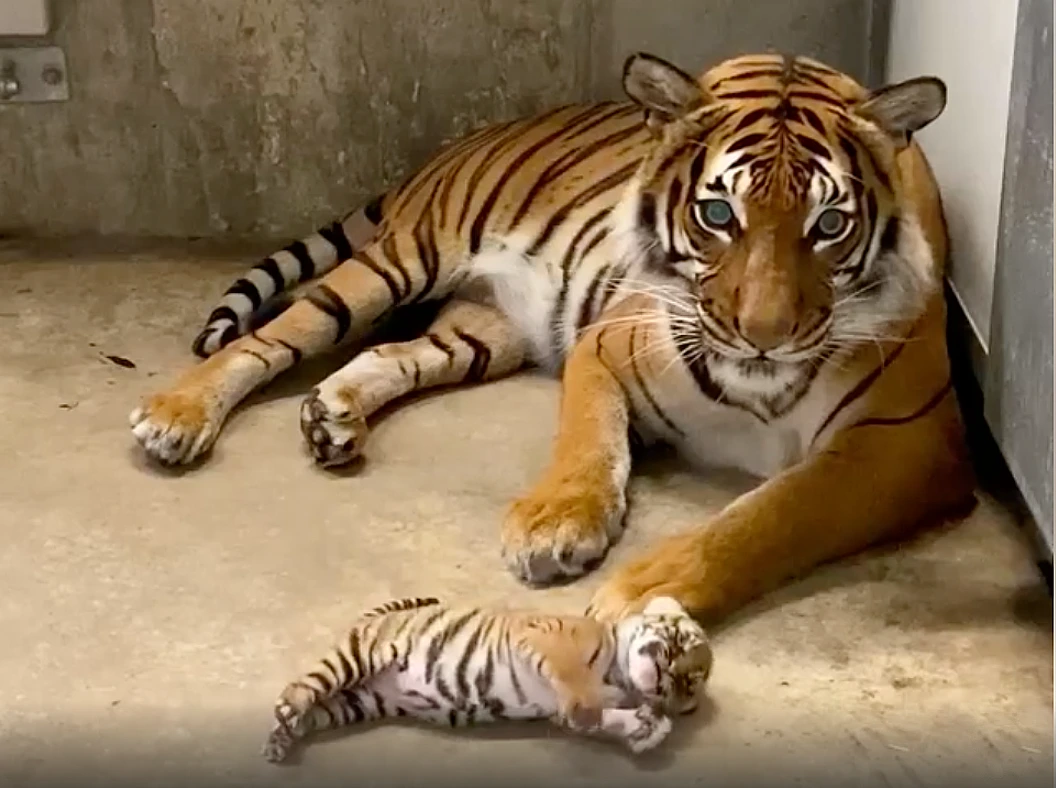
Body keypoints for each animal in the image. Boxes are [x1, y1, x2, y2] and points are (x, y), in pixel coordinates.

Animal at [129, 52, 971, 621]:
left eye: (829, 225)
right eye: (717, 214)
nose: (762, 335)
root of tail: (460, 141)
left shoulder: (904, 445)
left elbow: (768, 519)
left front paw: (644, 589)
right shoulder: (607, 343)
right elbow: (587, 440)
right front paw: (556, 523)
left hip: (483, 331)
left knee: (388, 353)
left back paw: (331, 416)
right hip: (402, 260)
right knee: (271, 336)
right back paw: (178, 416)